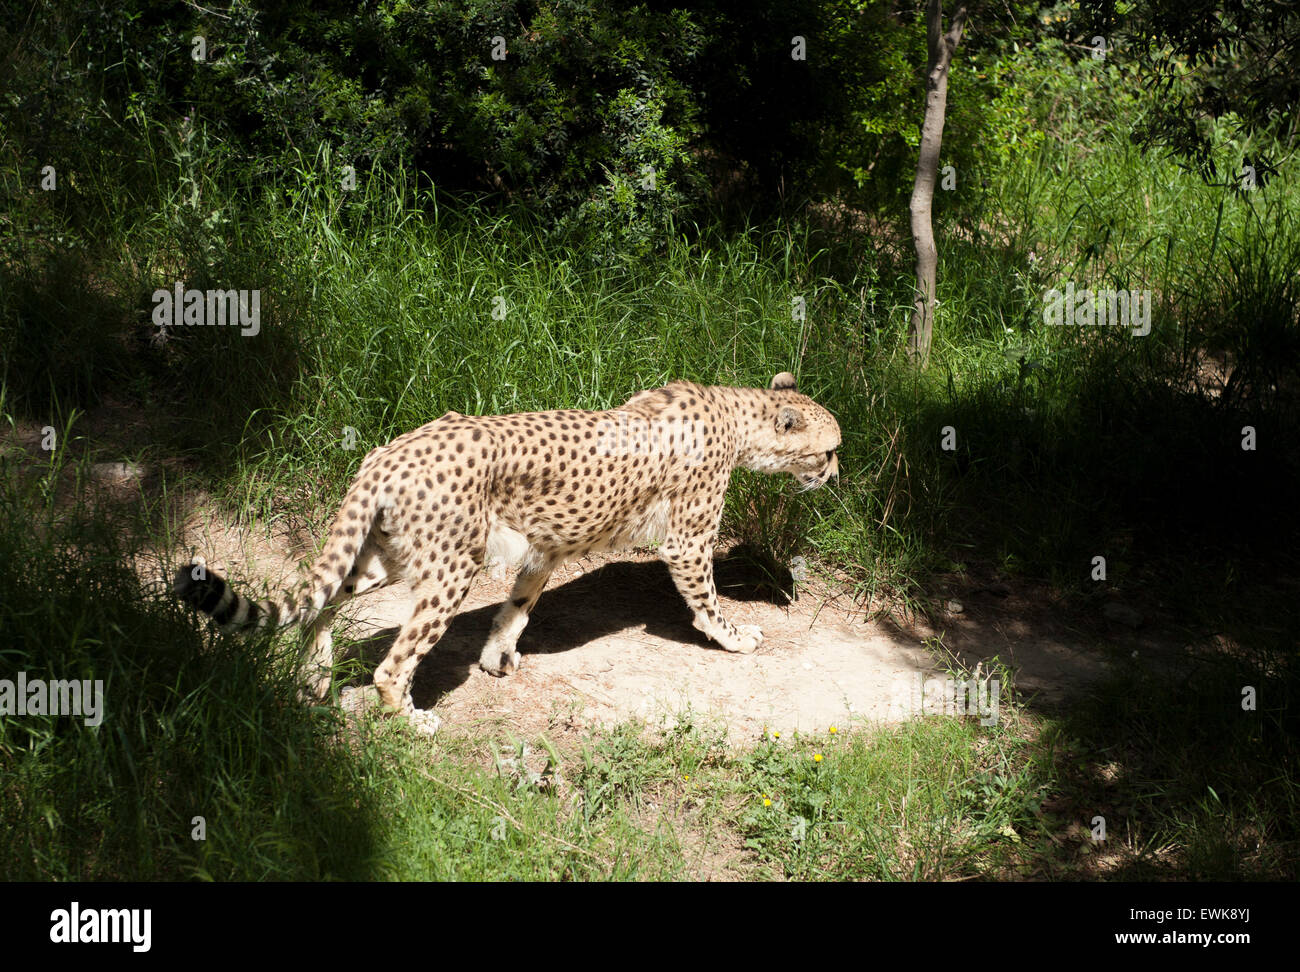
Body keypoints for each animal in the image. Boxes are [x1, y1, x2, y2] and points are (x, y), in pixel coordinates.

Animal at [172, 371, 842, 727]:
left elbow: (519, 605)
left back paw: (314, 673)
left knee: (327, 601)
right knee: (394, 659)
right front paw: (734, 637)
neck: (736, 413)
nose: (836, 475)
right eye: (830, 449)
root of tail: (389, 452)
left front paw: (497, 657)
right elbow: (705, 599)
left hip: (391, 553)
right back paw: (407, 717)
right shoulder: (687, 541)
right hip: (449, 568)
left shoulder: (545, 546)